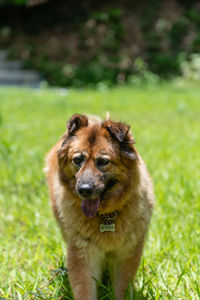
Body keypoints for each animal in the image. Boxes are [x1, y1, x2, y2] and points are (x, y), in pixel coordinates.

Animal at [45, 114, 154, 300]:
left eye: (103, 161)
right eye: (77, 160)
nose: (84, 189)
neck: (105, 214)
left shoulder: (127, 253)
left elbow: (121, 288)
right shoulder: (83, 254)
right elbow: (85, 289)